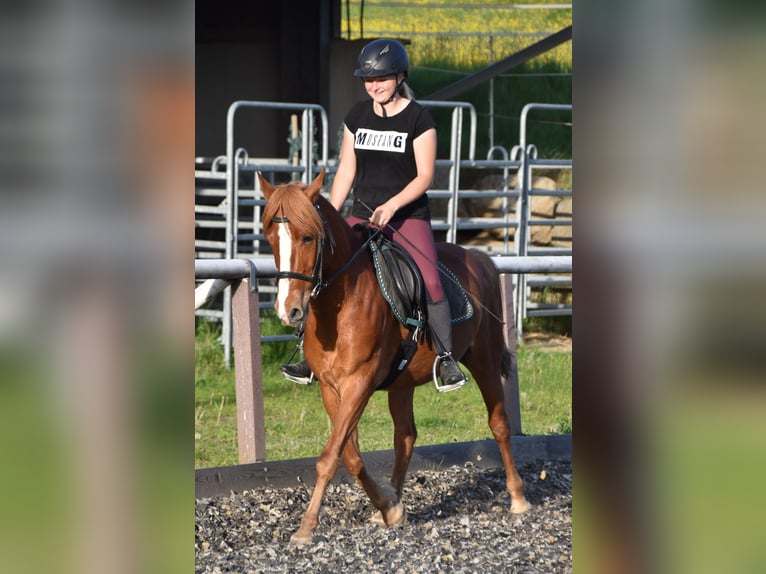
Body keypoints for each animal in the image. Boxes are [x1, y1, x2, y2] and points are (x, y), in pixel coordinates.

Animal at [258, 170, 528, 544]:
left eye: (308, 237)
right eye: (271, 237)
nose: (289, 311)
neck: (340, 302)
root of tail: (478, 258)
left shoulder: (359, 382)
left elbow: (330, 457)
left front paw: (306, 526)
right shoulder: (330, 387)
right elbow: (349, 455)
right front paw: (389, 507)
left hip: (484, 361)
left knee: (499, 425)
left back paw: (518, 498)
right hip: (403, 381)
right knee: (406, 436)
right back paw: (395, 499)